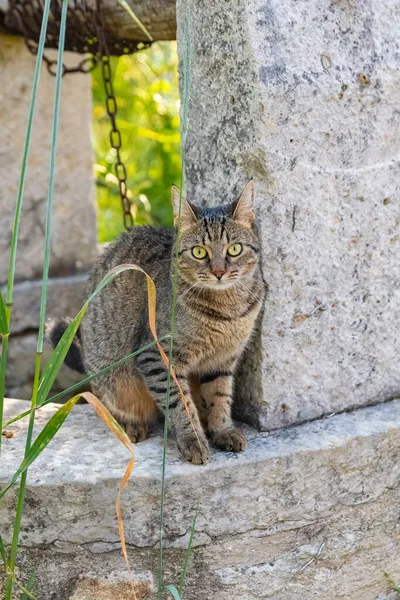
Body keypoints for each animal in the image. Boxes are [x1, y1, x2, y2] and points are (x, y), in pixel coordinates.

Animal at [47, 180, 266, 466]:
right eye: (199, 252)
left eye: (234, 249)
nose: (219, 272)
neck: (227, 310)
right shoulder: (158, 356)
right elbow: (179, 403)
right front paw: (193, 440)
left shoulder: (223, 360)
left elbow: (220, 396)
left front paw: (222, 429)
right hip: (112, 377)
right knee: (108, 404)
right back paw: (131, 426)